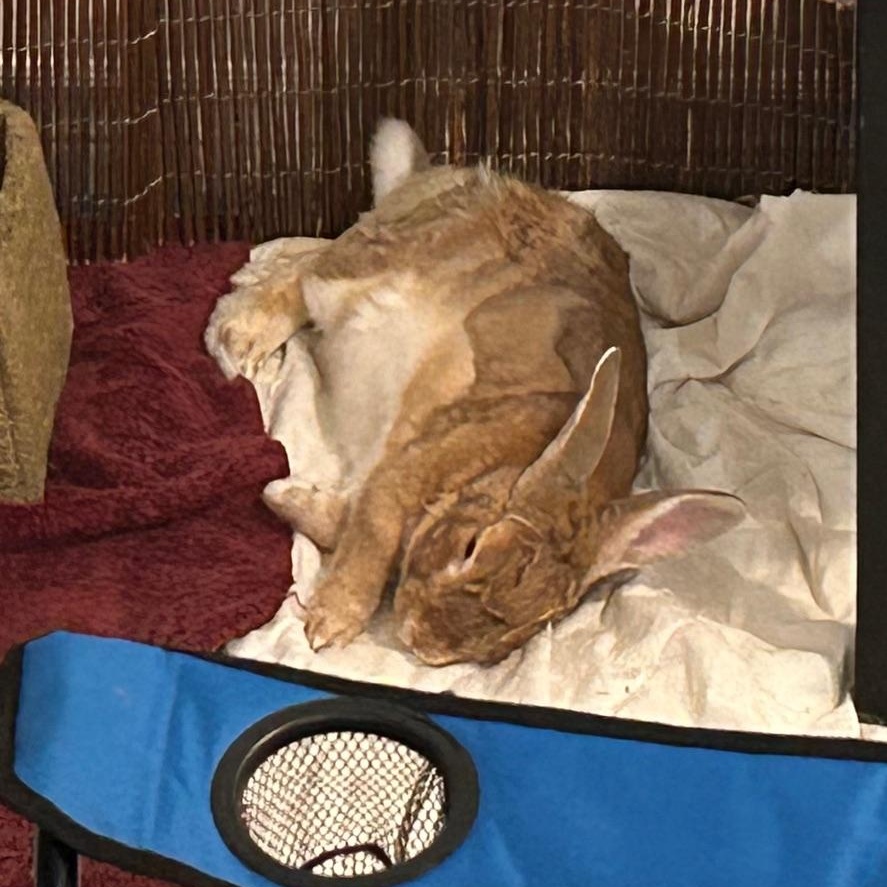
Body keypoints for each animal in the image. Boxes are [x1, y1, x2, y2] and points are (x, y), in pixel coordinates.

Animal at [205, 119, 745, 666]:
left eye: (518, 630)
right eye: (471, 546)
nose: (416, 638)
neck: (512, 465)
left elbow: (349, 520)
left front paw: (291, 499)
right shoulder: (413, 466)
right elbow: (374, 526)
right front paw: (332, 621)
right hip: (392, 259)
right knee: (311, 269)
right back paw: (238, 337)